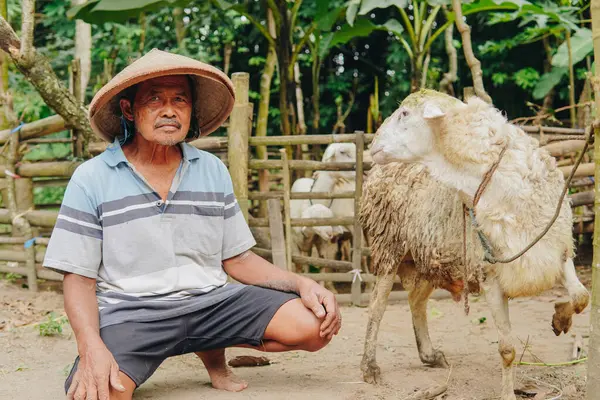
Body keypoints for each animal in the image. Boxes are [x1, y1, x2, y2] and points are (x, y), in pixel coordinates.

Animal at [364, 90, 588, 400]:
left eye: (405, 113)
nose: (373, 145)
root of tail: (374, 171)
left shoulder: (557, 250)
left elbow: (581, 297)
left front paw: (560, 320)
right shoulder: (489, 273)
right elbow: (507, 350)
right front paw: (508, 394)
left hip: (430, 257)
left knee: (416, 301)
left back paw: (429, 355)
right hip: (388, 246)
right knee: (377, 306)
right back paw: (370, 367)